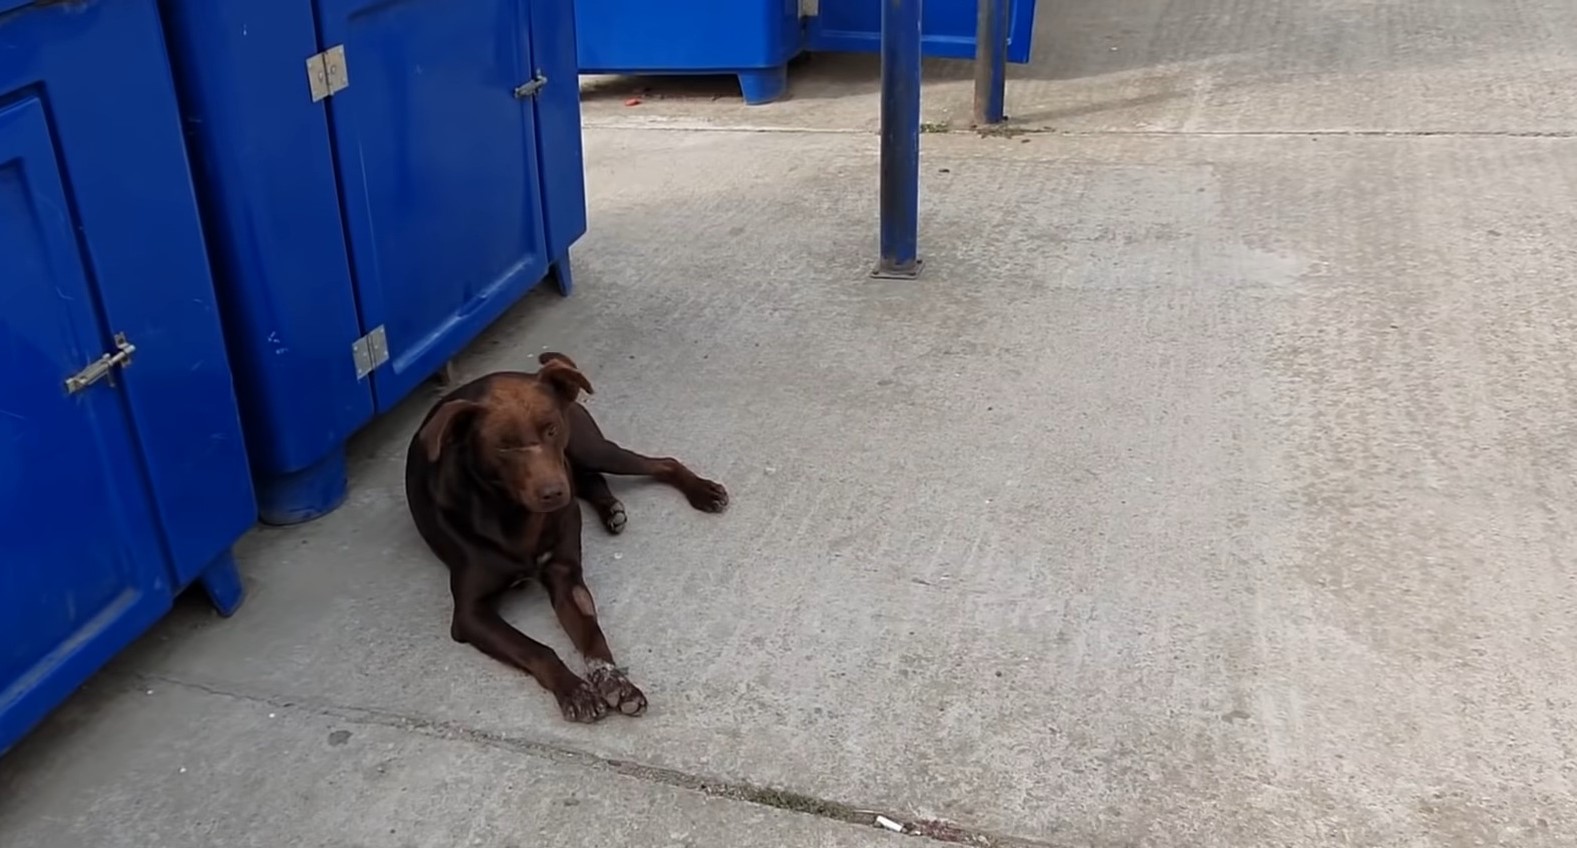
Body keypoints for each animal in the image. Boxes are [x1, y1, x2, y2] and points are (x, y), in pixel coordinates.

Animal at [403, 349, 728, 718]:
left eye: (551, 429)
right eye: (504, 447)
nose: (554, 492)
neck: (517, 518)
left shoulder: (566, 578)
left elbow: (593, 636)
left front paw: (616, 682)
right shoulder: (470, 613)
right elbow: (535, 648)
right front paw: (574, 690)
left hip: (591, 448)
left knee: (660, 463)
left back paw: (701, 492)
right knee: (587, 479)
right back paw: (611, 509)